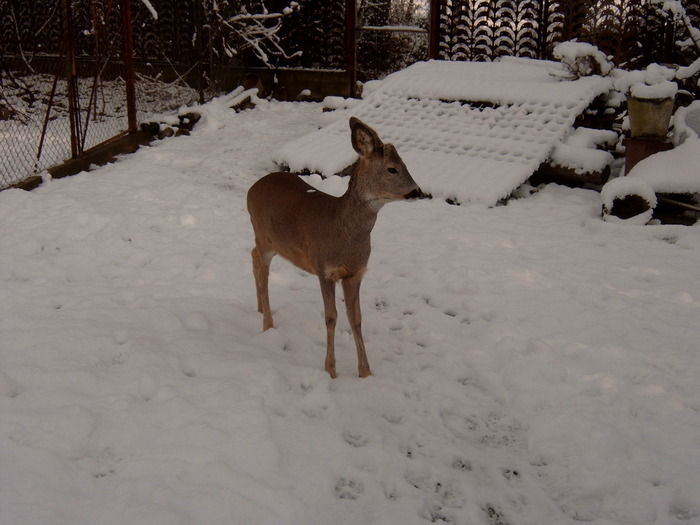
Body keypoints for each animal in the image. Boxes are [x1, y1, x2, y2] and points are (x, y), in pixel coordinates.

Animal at [246, 117, 422, 376]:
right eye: (392, 168)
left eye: (405, 164)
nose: (417, 191)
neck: (343, 234)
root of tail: (252, 188)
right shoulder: (324, 269)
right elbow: (331, 317)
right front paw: (330, 370)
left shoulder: (355, 273)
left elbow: (356, 318)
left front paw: (365, 372)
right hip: (263, 235)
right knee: (262, 268)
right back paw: (267, 323)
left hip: (270, 241)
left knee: (253, 255)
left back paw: (259, 308)